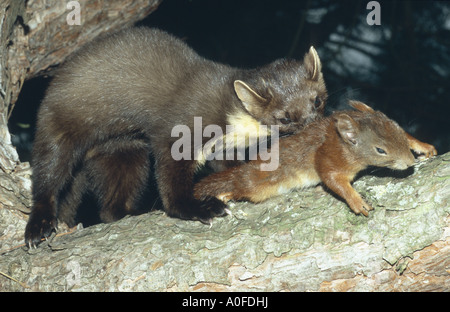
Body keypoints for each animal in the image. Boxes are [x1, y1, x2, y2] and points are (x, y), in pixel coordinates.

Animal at [195, 101, 438, 216]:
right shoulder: (329, 158)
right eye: (380, 150)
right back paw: (225, 193)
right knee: (240, 187)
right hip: (255, 185)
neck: (341, 142)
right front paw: (356, 201)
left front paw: (423, 146)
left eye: (398, 129)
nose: (410, 163)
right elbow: (332, 179)